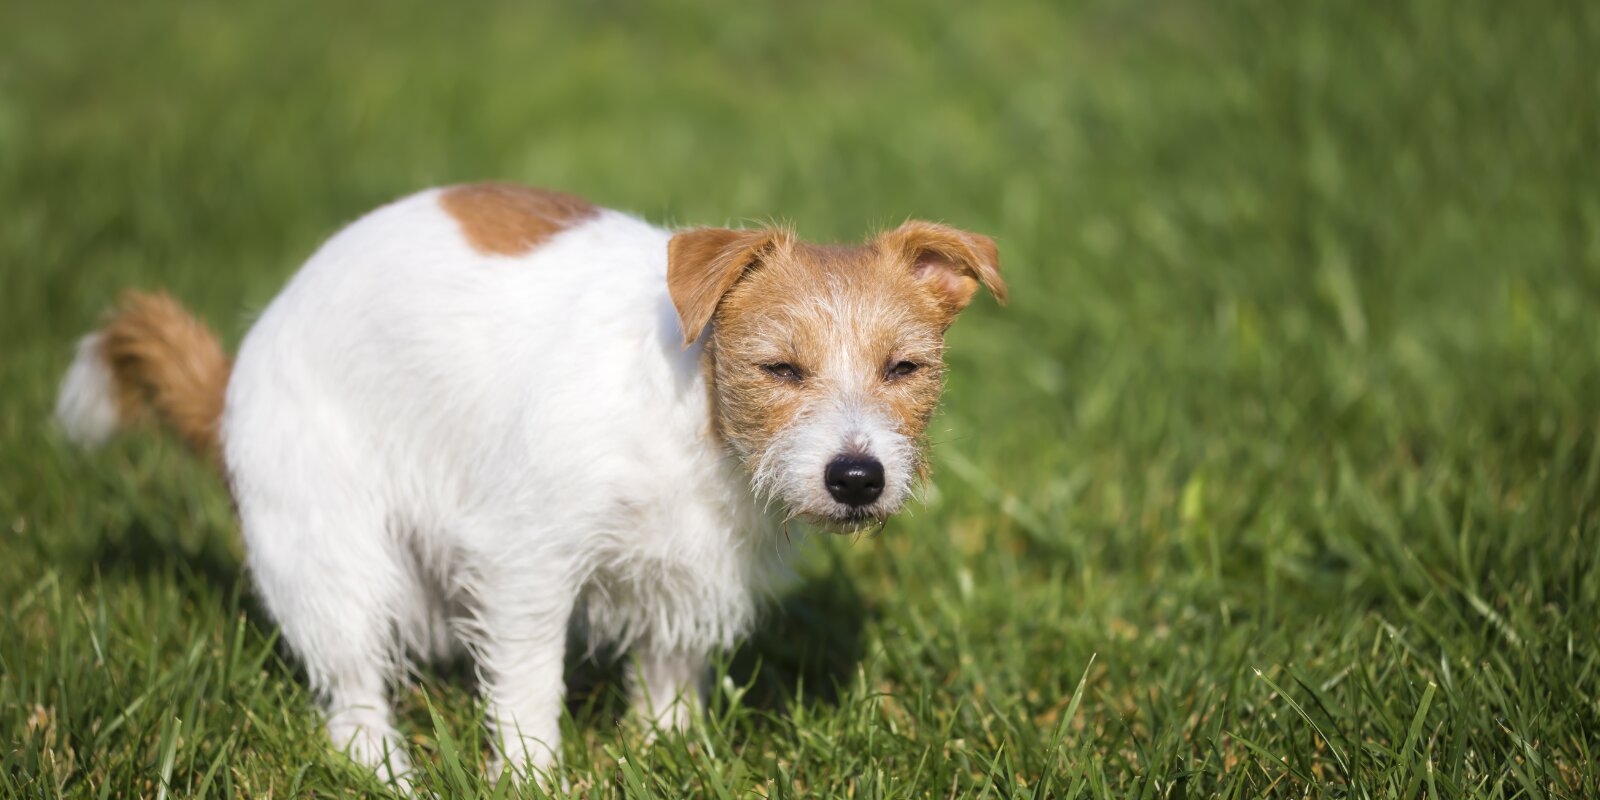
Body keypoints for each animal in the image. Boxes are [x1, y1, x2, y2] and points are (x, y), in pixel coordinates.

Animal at [56, 183, 1004, 787]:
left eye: (904, 368)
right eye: (780, 368)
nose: (857, 478)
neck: (694, 414)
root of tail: (227, 387)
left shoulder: (692, 576)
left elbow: (668, 680)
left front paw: (664, 756)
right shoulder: (528, 563)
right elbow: (527, 685)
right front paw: (530, 774)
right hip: (329, 552)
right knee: (351, 687)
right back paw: (382, 767)